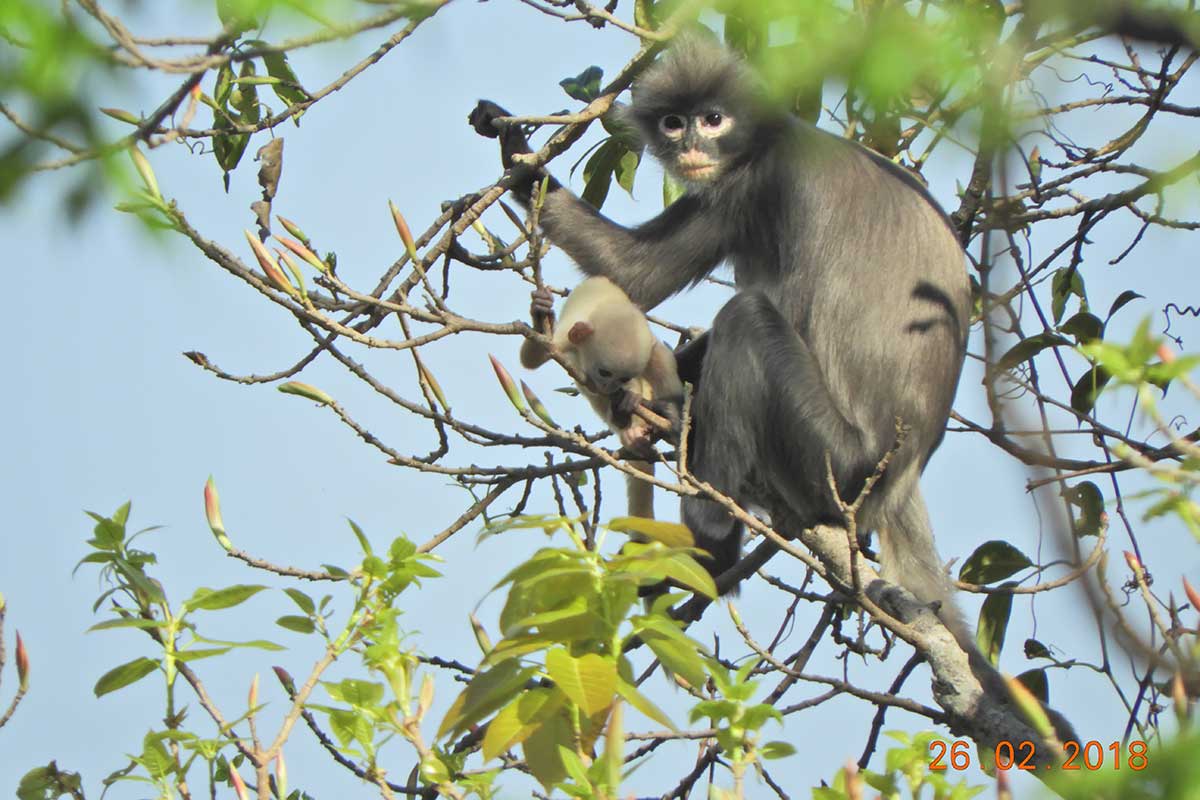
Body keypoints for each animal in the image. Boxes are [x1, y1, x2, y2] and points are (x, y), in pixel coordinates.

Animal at [468, 31, 974, 633]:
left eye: (713, 119)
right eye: (673, 122)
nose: (690, 144)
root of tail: (899, 478)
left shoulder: (763, 183)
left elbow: (644, 276)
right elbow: (634, 273)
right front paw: (514, 148)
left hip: (834, 462)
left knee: (747, 318)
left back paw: (709, 545)